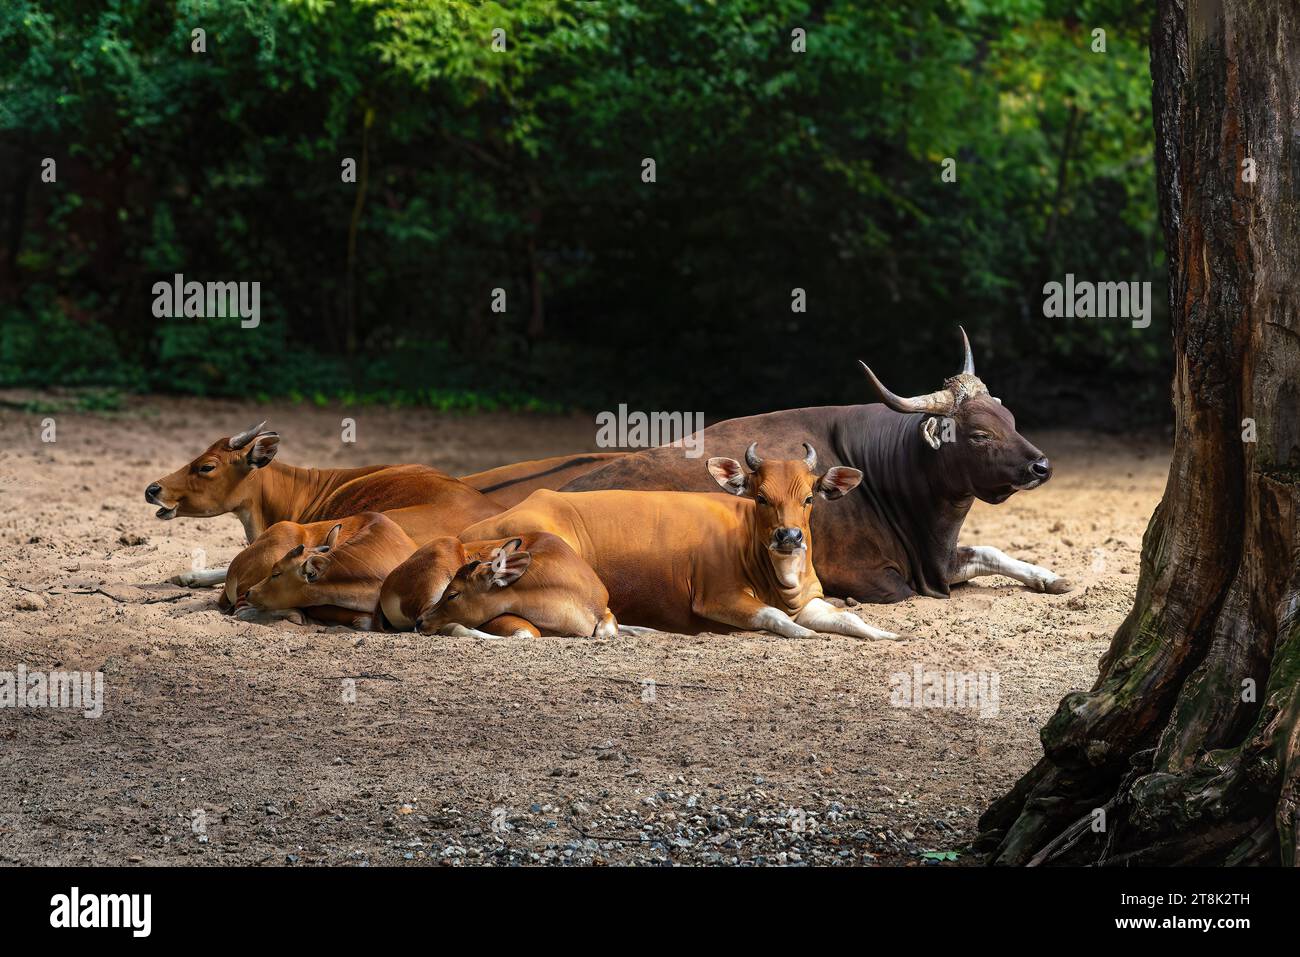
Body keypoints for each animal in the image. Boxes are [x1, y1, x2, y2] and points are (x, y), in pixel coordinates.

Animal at [462, 444, 909, 639]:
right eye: (761, 497)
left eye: (809, 498)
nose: (789, 535)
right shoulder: (716, 599)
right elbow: (773, 617)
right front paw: (803, 634)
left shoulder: (808, 600)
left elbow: (848, 617)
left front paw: (885, 635)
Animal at [564, 328, 1071, 598]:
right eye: (980, 435)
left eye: (1011, 420)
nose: (1041, 467)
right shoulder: (871, 576)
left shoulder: (937, 560)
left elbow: (991, 551)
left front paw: (1050, 577)